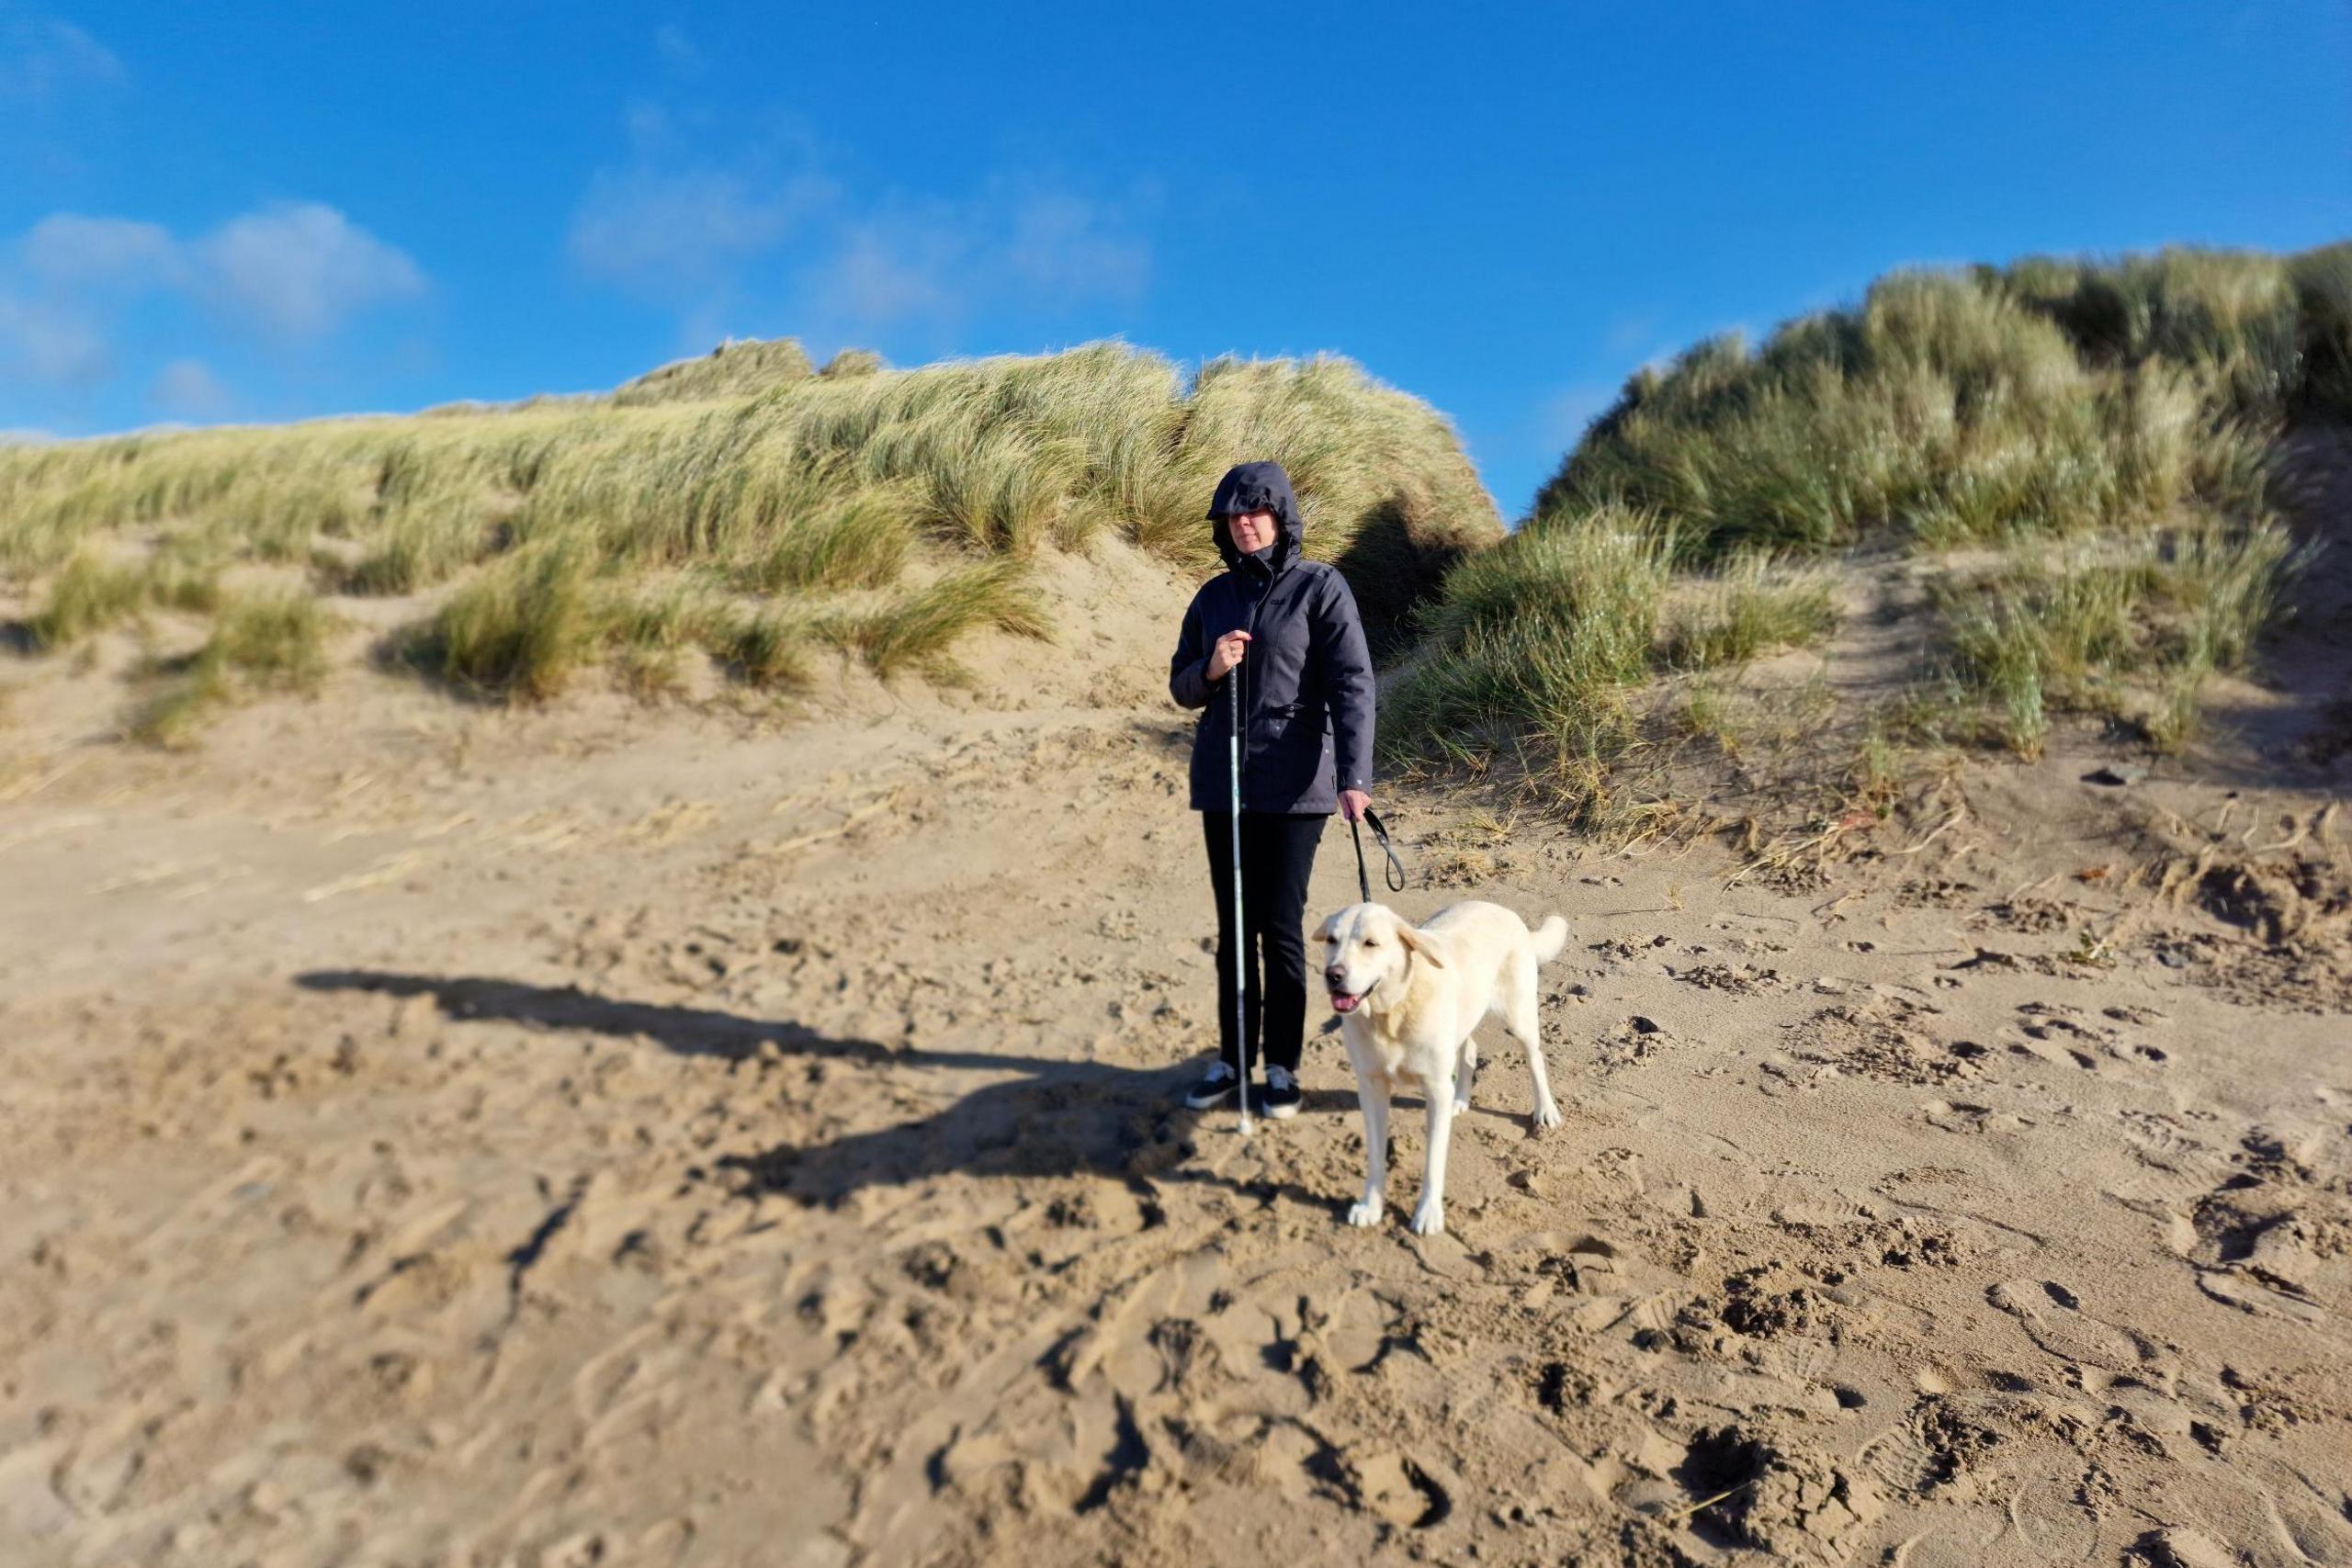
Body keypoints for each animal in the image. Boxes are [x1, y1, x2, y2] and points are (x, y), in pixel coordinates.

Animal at [1317, 902, 1571, 1232]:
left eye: (1370, 943)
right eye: (1331, 940)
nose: (1332, 975)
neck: (1391, 1013)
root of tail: (1504, 910)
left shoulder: (1436, 1089)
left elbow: (1433, 1161)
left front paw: (1428, 1213)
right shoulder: (1371, 1087)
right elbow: (1374, 1156)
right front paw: (1370, 1206)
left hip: (1519, 1017)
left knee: (1535, 1058)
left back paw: (1545, 1110)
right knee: (1469, 1051)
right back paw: (1461, 1098)